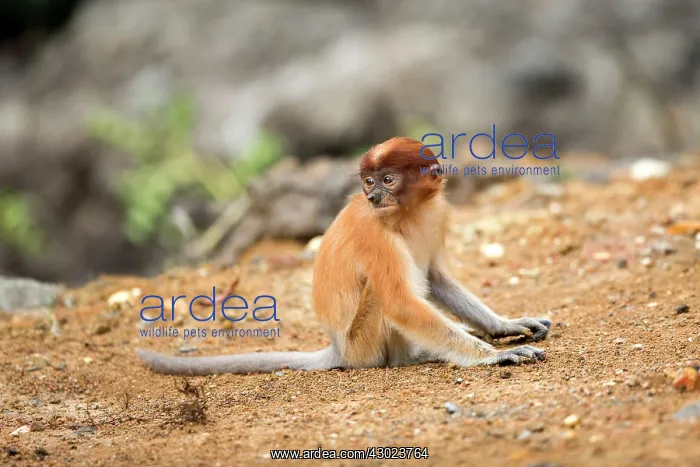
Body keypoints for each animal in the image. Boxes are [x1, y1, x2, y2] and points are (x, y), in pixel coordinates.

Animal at [137, 136, 551, 376]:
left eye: (388, 179)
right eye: (369, 182)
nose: (374, 197)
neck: (406, 214)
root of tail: (339, 348)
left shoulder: (437, 215)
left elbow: (435, 278)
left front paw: (508, 326)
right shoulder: (375, 235)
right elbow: (400, 303)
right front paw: (493, 355)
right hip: (363, 343)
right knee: (385, 300)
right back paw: (416, 355)